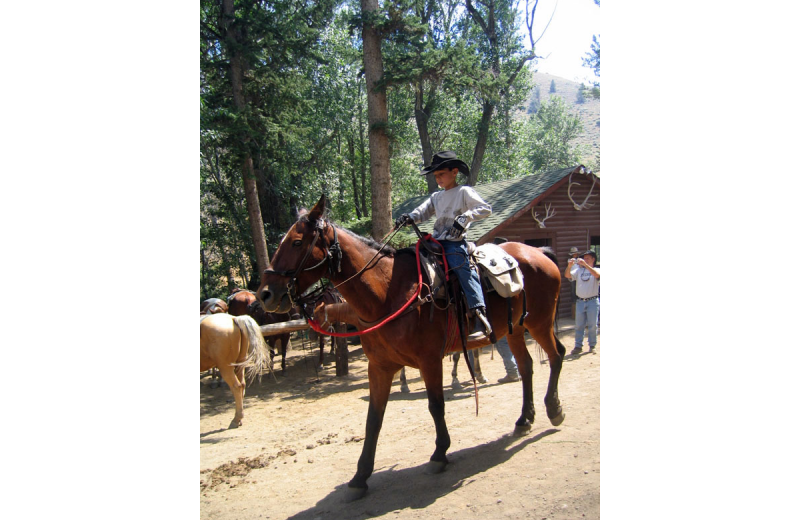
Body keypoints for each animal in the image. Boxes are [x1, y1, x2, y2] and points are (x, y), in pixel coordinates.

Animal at [255, 195, 564, 500]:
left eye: (297, 242)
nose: (266, 294)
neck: (388, 294)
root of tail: (538, 252)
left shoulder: (430, 360)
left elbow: (435, 405)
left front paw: (439, 453)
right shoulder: (379, 368)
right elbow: (373, 419)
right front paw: (360, 476)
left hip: (539, 322)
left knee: (556, 355)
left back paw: (554, 409)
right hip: (516, 330)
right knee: (526, 367)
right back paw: (525, 419)